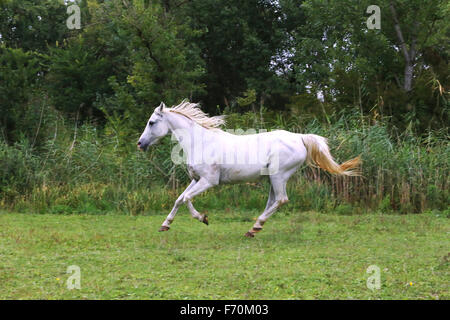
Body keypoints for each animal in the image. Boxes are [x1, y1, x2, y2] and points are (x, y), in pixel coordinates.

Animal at [138, 100, 362, 238]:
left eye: (151, 122)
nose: (140, 144)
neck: (201, 142)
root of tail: (300, 137)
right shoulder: (196, 179)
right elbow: (179, 199)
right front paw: (165, 225)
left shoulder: (209, 181)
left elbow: (186, 199)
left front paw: (203, 218)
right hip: (272, 178)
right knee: (273, 201)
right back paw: (254, 229)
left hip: (279, 176)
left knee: (281, 200)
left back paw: (254, 227)